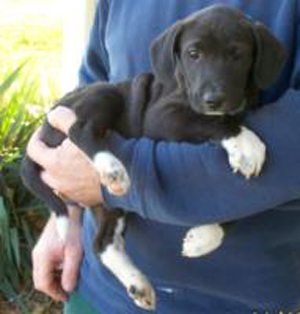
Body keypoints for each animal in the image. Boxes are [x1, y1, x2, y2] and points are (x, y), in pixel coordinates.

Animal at [21, 5, 286, 312]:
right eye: (193, 53)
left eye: (238, 54)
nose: (213, 100)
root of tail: (44, 123)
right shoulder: (162, 116)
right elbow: (212, 122)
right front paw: (246, 144)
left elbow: (248, 204)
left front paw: (204, 237)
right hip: (106, 93)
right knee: (80, 129)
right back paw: (112, 167)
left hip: (110, 205)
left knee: (103, 244)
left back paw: (137, 282)